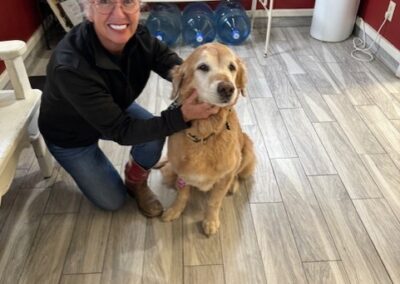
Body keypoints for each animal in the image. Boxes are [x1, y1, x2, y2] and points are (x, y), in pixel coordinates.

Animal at [160, 42, 256, 236]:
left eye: (232, 67)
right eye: (203, 67)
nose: (227, 88)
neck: (204, 134)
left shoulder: (224, 176)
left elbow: (214, 201)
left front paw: (210, 221)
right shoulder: (183, 172)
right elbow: (182, 194)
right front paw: (175, 210)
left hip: (247, 149)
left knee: (237, 174)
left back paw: (233, 185)